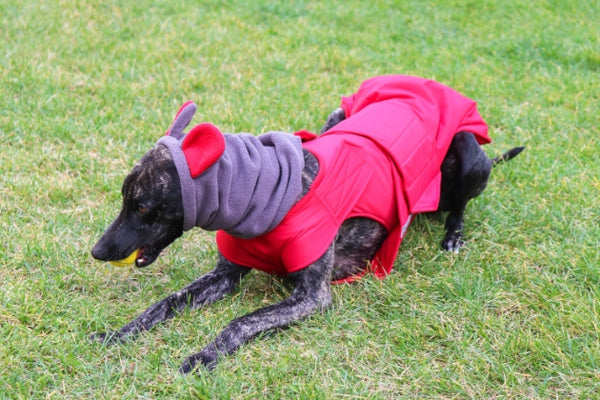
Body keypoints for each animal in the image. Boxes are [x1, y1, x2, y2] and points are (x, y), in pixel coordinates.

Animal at [91, 75, 524, 372]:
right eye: (125, 199)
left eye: (142, 206)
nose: (97, 251)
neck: (270, 194)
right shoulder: (225, 276)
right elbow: (166, 302)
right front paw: (120, 332)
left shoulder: (312, 297)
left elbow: (242, 321)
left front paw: (205, 354)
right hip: (338, 113)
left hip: (467, 154)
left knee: (459, 206)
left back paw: (453, 235)